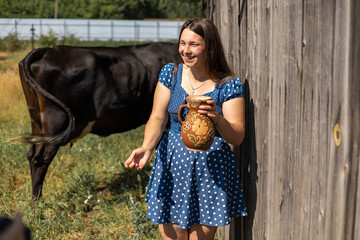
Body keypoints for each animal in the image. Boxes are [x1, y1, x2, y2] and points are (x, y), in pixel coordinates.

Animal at [15, 41, 181, 199]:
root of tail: (47, 50)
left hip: (37, 120)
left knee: (31, 154)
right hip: (55, 120)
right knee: (40, 159)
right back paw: (37, 203)